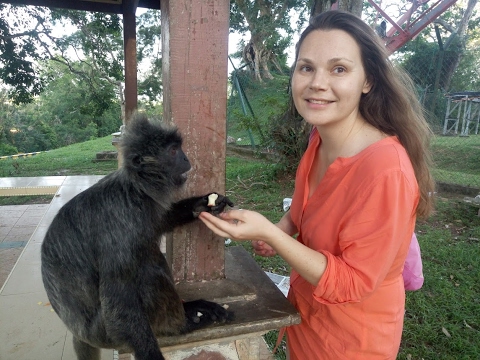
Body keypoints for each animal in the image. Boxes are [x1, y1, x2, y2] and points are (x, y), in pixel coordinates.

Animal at [40, 114, 234, 360]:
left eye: (179, 148)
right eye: (173, 151)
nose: (185, 157)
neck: (134, 188)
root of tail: (78, 331)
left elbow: (160, 222)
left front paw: (203, 204)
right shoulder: (120, 224)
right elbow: (119, 303)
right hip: (105, 332)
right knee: (146, 271)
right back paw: (183, 325)